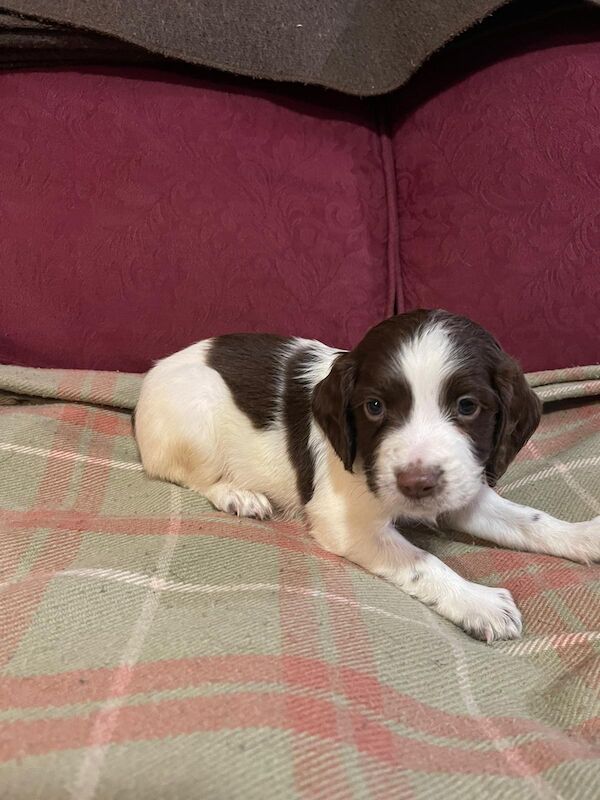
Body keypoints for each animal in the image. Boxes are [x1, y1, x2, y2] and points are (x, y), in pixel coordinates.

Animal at [136, 310, 600, 644]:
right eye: (374, 407)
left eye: (468, 406)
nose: (416, 485)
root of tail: (155, 371)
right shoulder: (346, 523)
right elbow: (423, 561)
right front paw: (478, 602)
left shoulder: (462, 488)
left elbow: (530, 520)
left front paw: (584, 536)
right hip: (196, 424)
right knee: (194, 477)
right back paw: (239, 495)